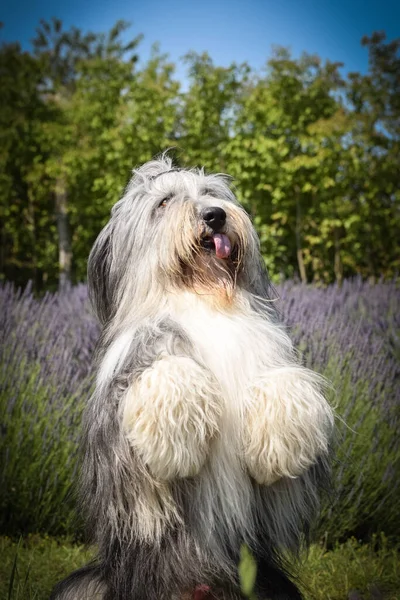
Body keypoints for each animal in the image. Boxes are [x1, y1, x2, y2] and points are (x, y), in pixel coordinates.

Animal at [52, 157, 334, 596]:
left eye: (212, 194)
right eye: (164, 202)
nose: (215, 216)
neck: (204, 300)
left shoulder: (276, 505)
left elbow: (281, 381)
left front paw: (282, 437)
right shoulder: (122, 465)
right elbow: (166, 373)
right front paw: (179, 435)